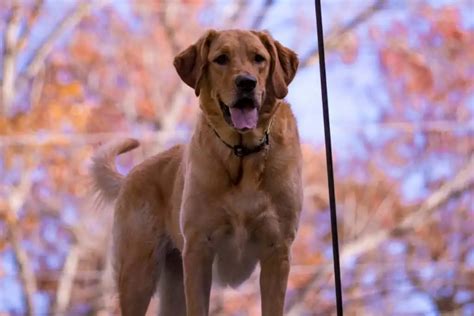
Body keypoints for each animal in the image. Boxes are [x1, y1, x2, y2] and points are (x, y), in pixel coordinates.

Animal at [90, 29, 302, 316]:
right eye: (221, 59)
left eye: (259, 58)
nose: (246, 83)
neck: (242, 154)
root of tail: (131, 174)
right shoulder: (198, 248)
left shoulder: (277, 250)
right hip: (138, 271)